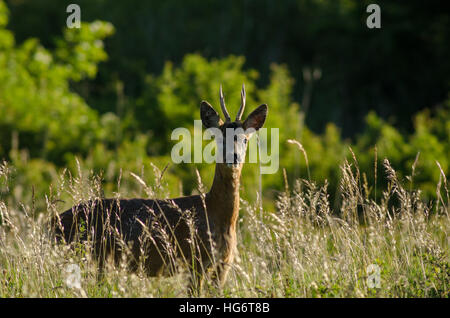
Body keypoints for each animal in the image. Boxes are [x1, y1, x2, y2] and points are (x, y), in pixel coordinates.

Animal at [54, 84, 268, 294]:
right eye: (220, 138)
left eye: (245, 140)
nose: (234, 157)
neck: (217, 215)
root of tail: (51, 223)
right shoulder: (193, 260)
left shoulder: (223, 265)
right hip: (88, 255)